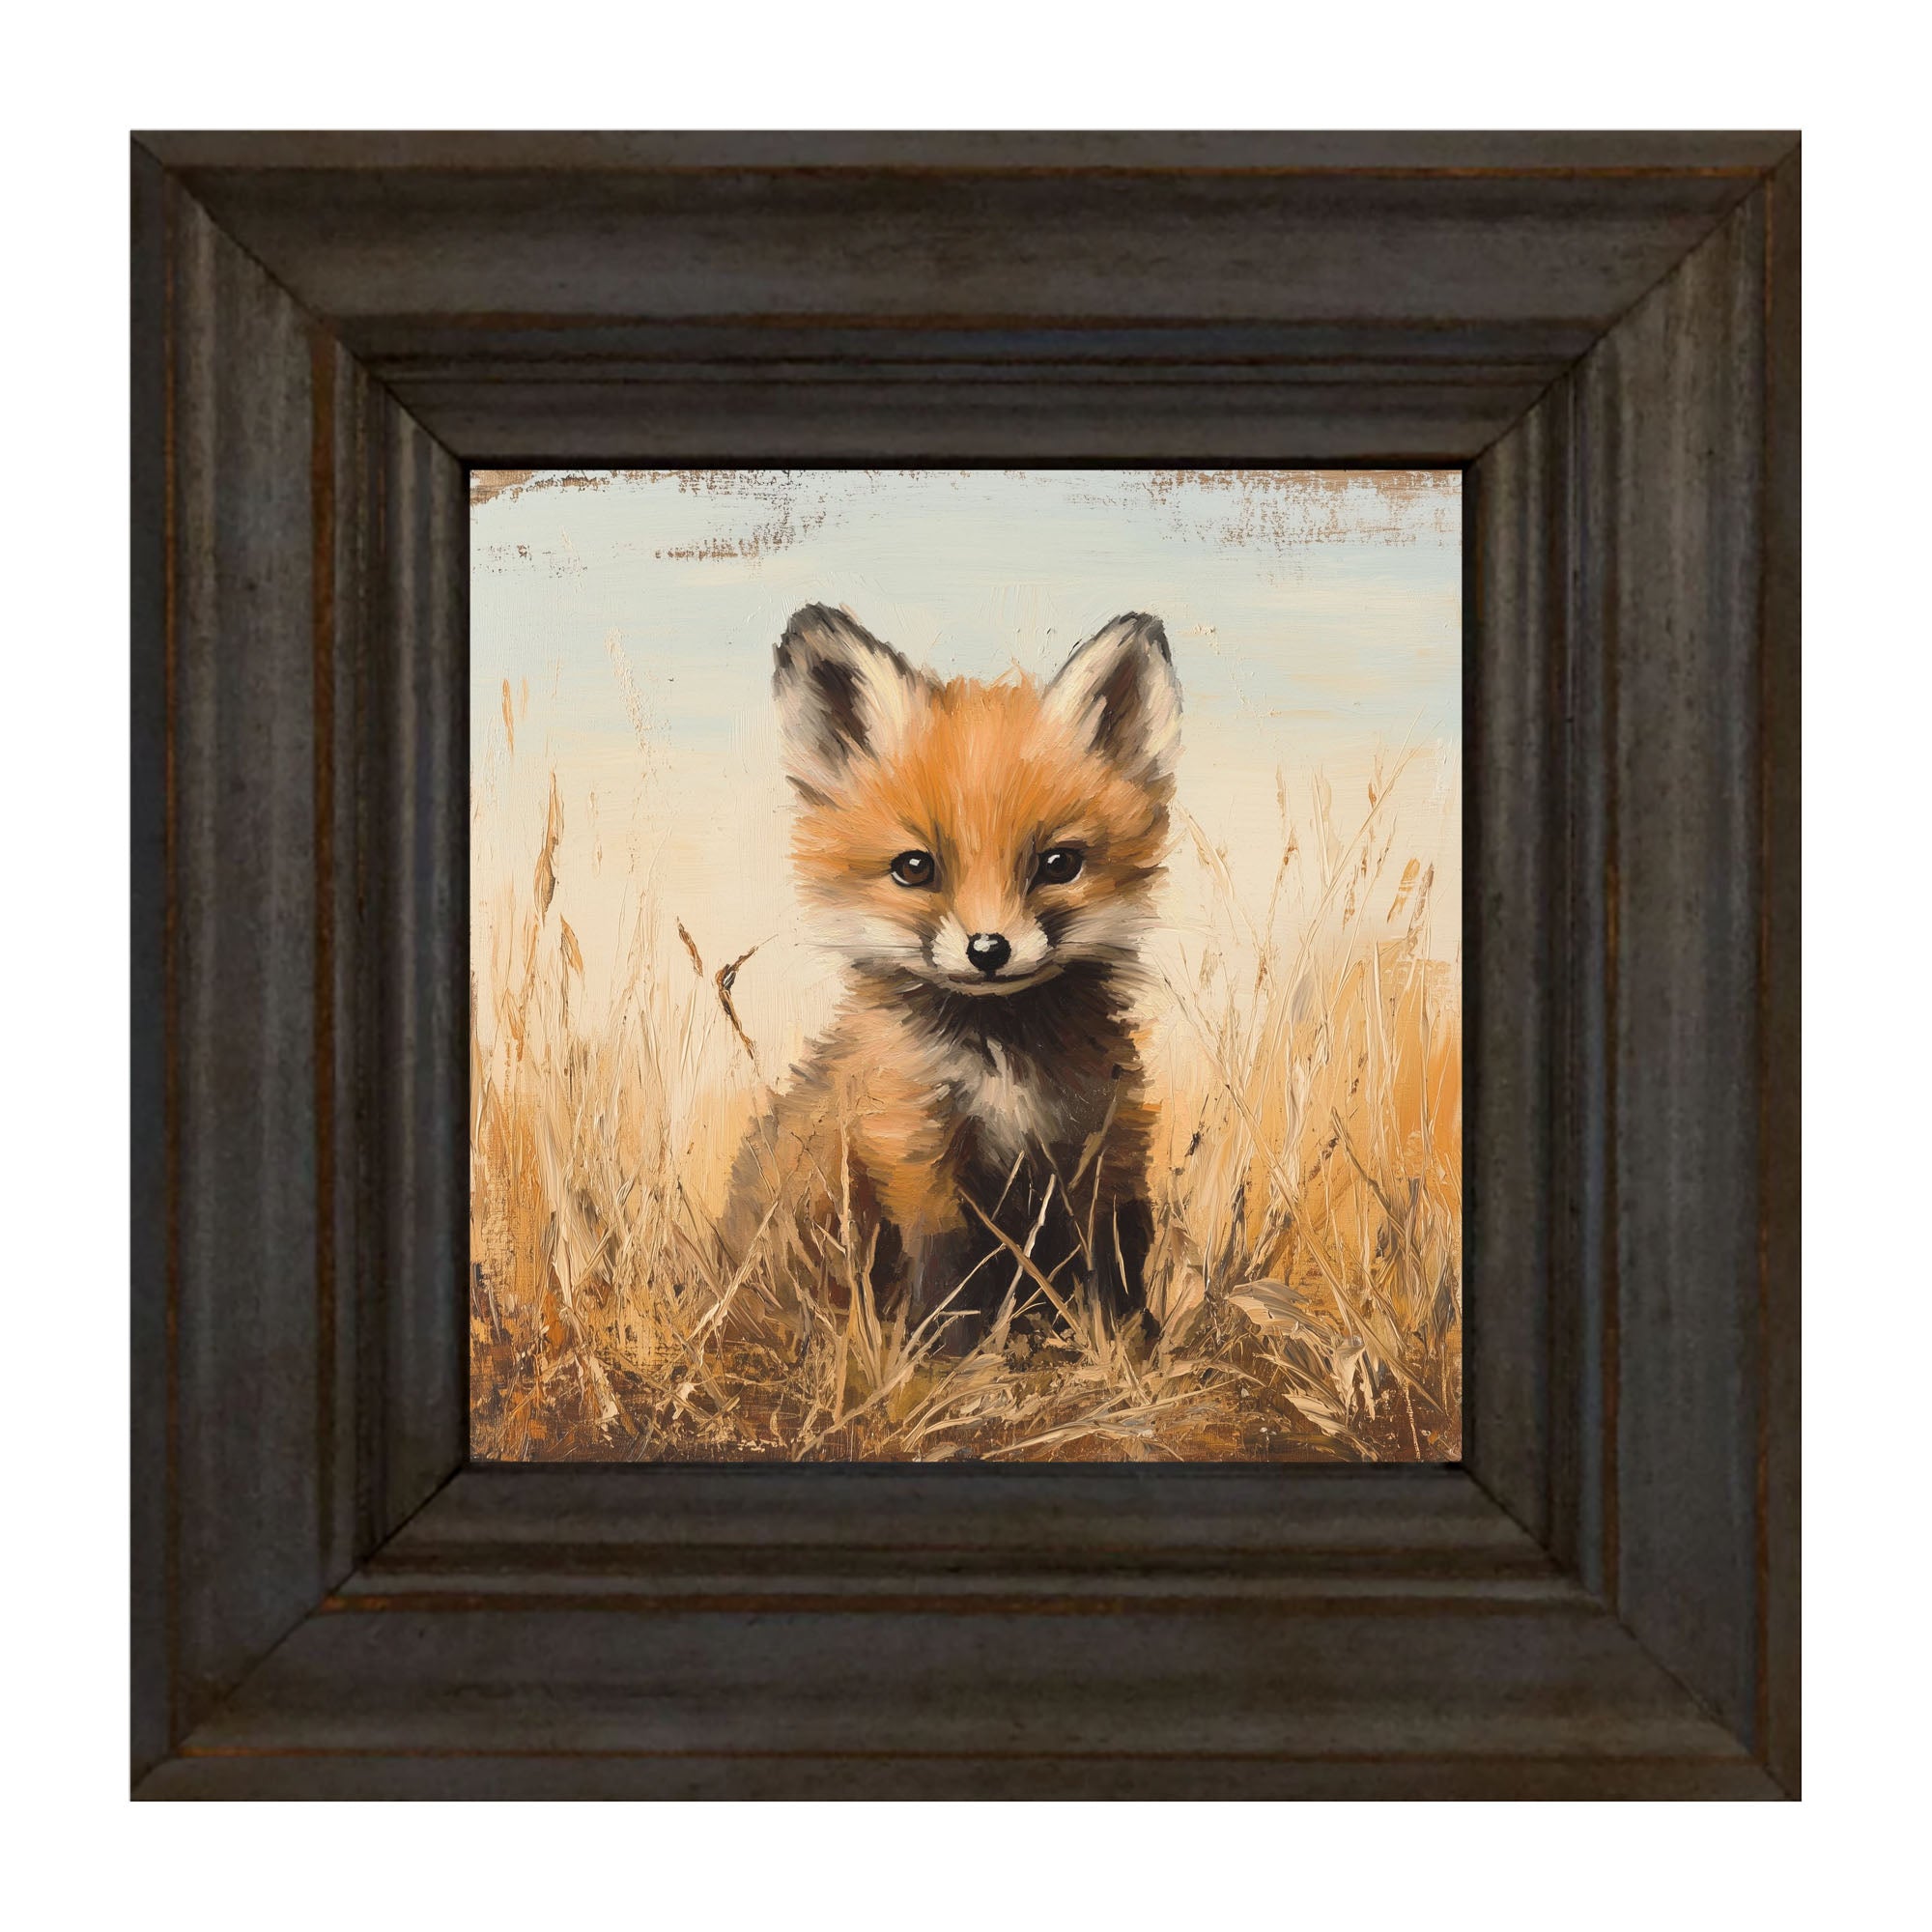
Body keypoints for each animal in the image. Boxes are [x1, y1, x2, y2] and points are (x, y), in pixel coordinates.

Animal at [722, 602, 1181, 1352]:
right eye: (915, 867)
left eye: (1059, 864)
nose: (988, 948)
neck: (1002, 1063)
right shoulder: (912, 1148)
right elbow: (948, 1274)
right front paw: (959, 1362)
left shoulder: (1101, 1140)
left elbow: (1115, 1264)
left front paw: (1127, 1349)